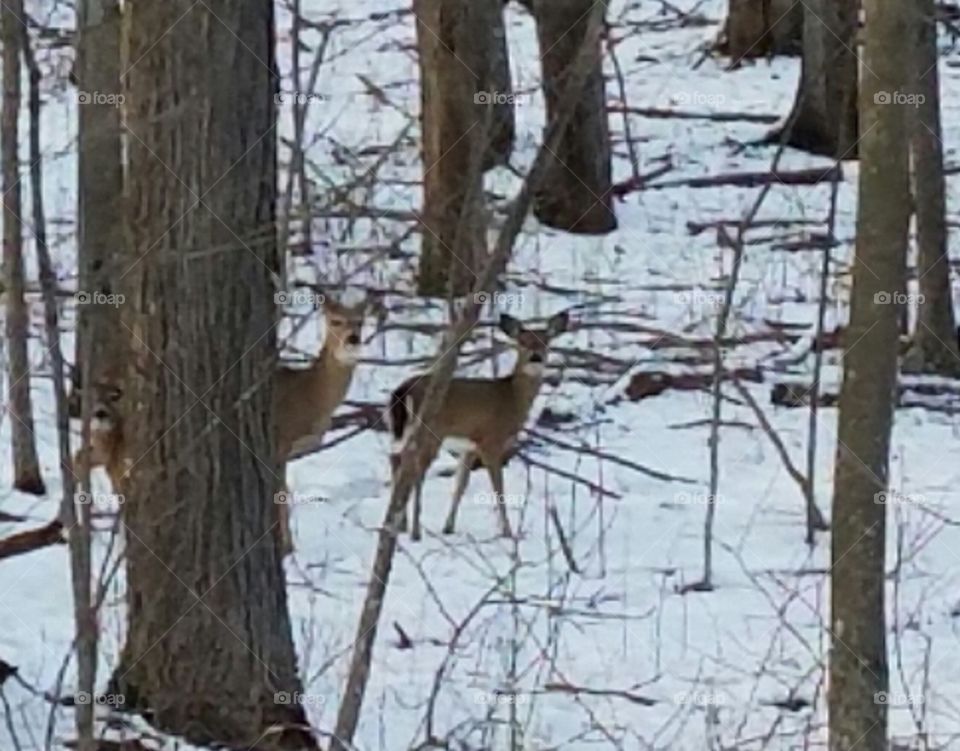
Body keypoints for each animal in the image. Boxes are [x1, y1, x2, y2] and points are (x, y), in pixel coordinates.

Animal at [387, 310, 570, 541]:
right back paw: (415, 530)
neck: (512, 398)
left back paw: (401, 525)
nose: (536, 357)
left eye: (546, 341)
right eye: (522, 342)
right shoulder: (491, 440)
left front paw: (448, 527)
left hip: (401, 430)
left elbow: (461, 485)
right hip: (431, 431)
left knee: (396, 460)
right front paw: (508, 532)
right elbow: (499, 489)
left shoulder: (470, 446)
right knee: (415, 471)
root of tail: (402, 391)